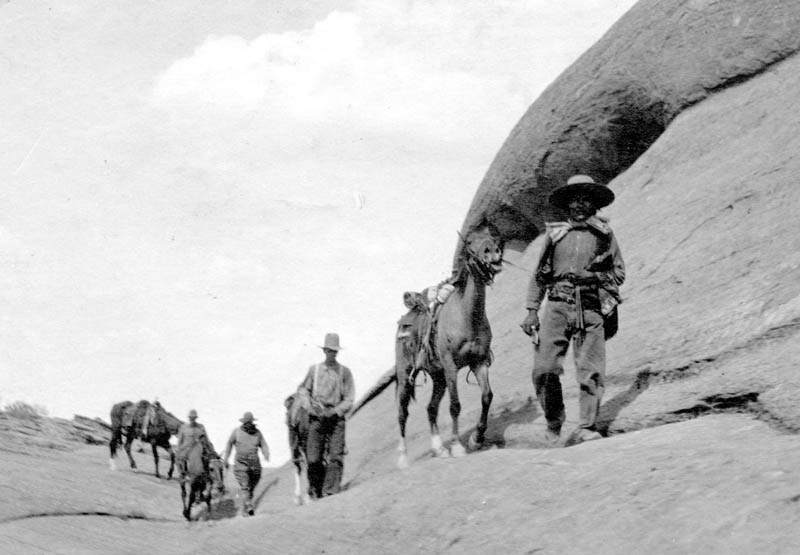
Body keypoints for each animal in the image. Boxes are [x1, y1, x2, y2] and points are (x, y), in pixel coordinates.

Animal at [348, 222, 500, 470]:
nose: (493, 252)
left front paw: (476, 439)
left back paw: (439, 448)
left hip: (438, 377)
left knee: (431, 408)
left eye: (492, 237)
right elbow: (455, 405)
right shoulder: (450, 366)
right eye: (469, 241)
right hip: (405, 377)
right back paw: (403, 458)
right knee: (402, 414)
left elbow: (487, 396)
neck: (466, 316)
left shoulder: (478, 362)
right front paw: (458, 447)